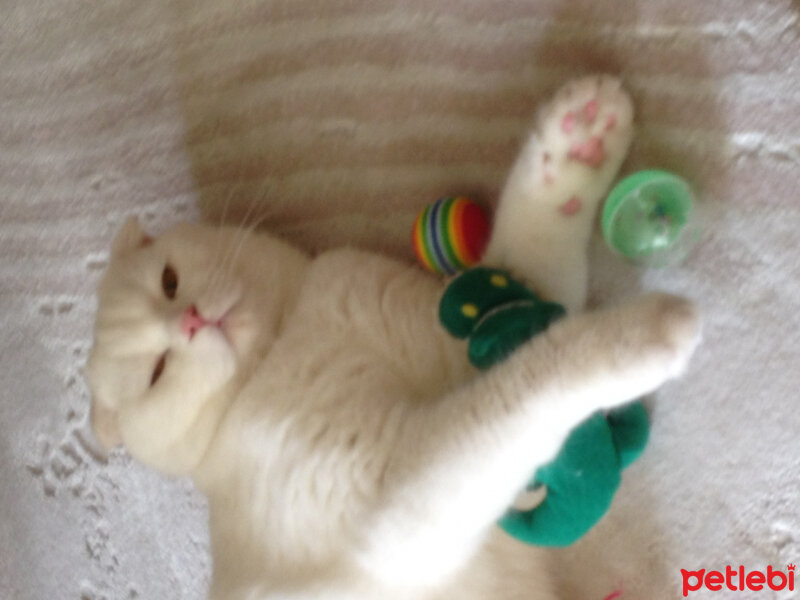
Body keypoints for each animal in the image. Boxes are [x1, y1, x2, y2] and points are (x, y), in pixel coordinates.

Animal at [86, 76, 700, 600]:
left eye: (169, 281)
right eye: (156, 374)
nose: (190, 321)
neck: (286, 339)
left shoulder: (480, 328)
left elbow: (532, 259)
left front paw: (576, 144)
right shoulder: (401, 507)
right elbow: (523, 388)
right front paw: (639, 338)